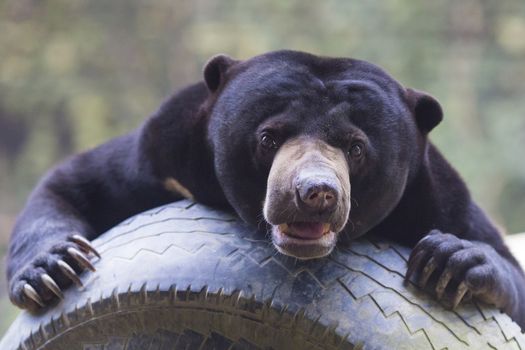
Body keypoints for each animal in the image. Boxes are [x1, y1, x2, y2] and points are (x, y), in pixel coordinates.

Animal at [5, 50, 524, 330]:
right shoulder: (162, 156)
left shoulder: (434, 196)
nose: (316, 193)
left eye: (355, 148)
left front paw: (450, 262)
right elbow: (77, 184)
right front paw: (52, 270)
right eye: (269, 137)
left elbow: (502, 262)